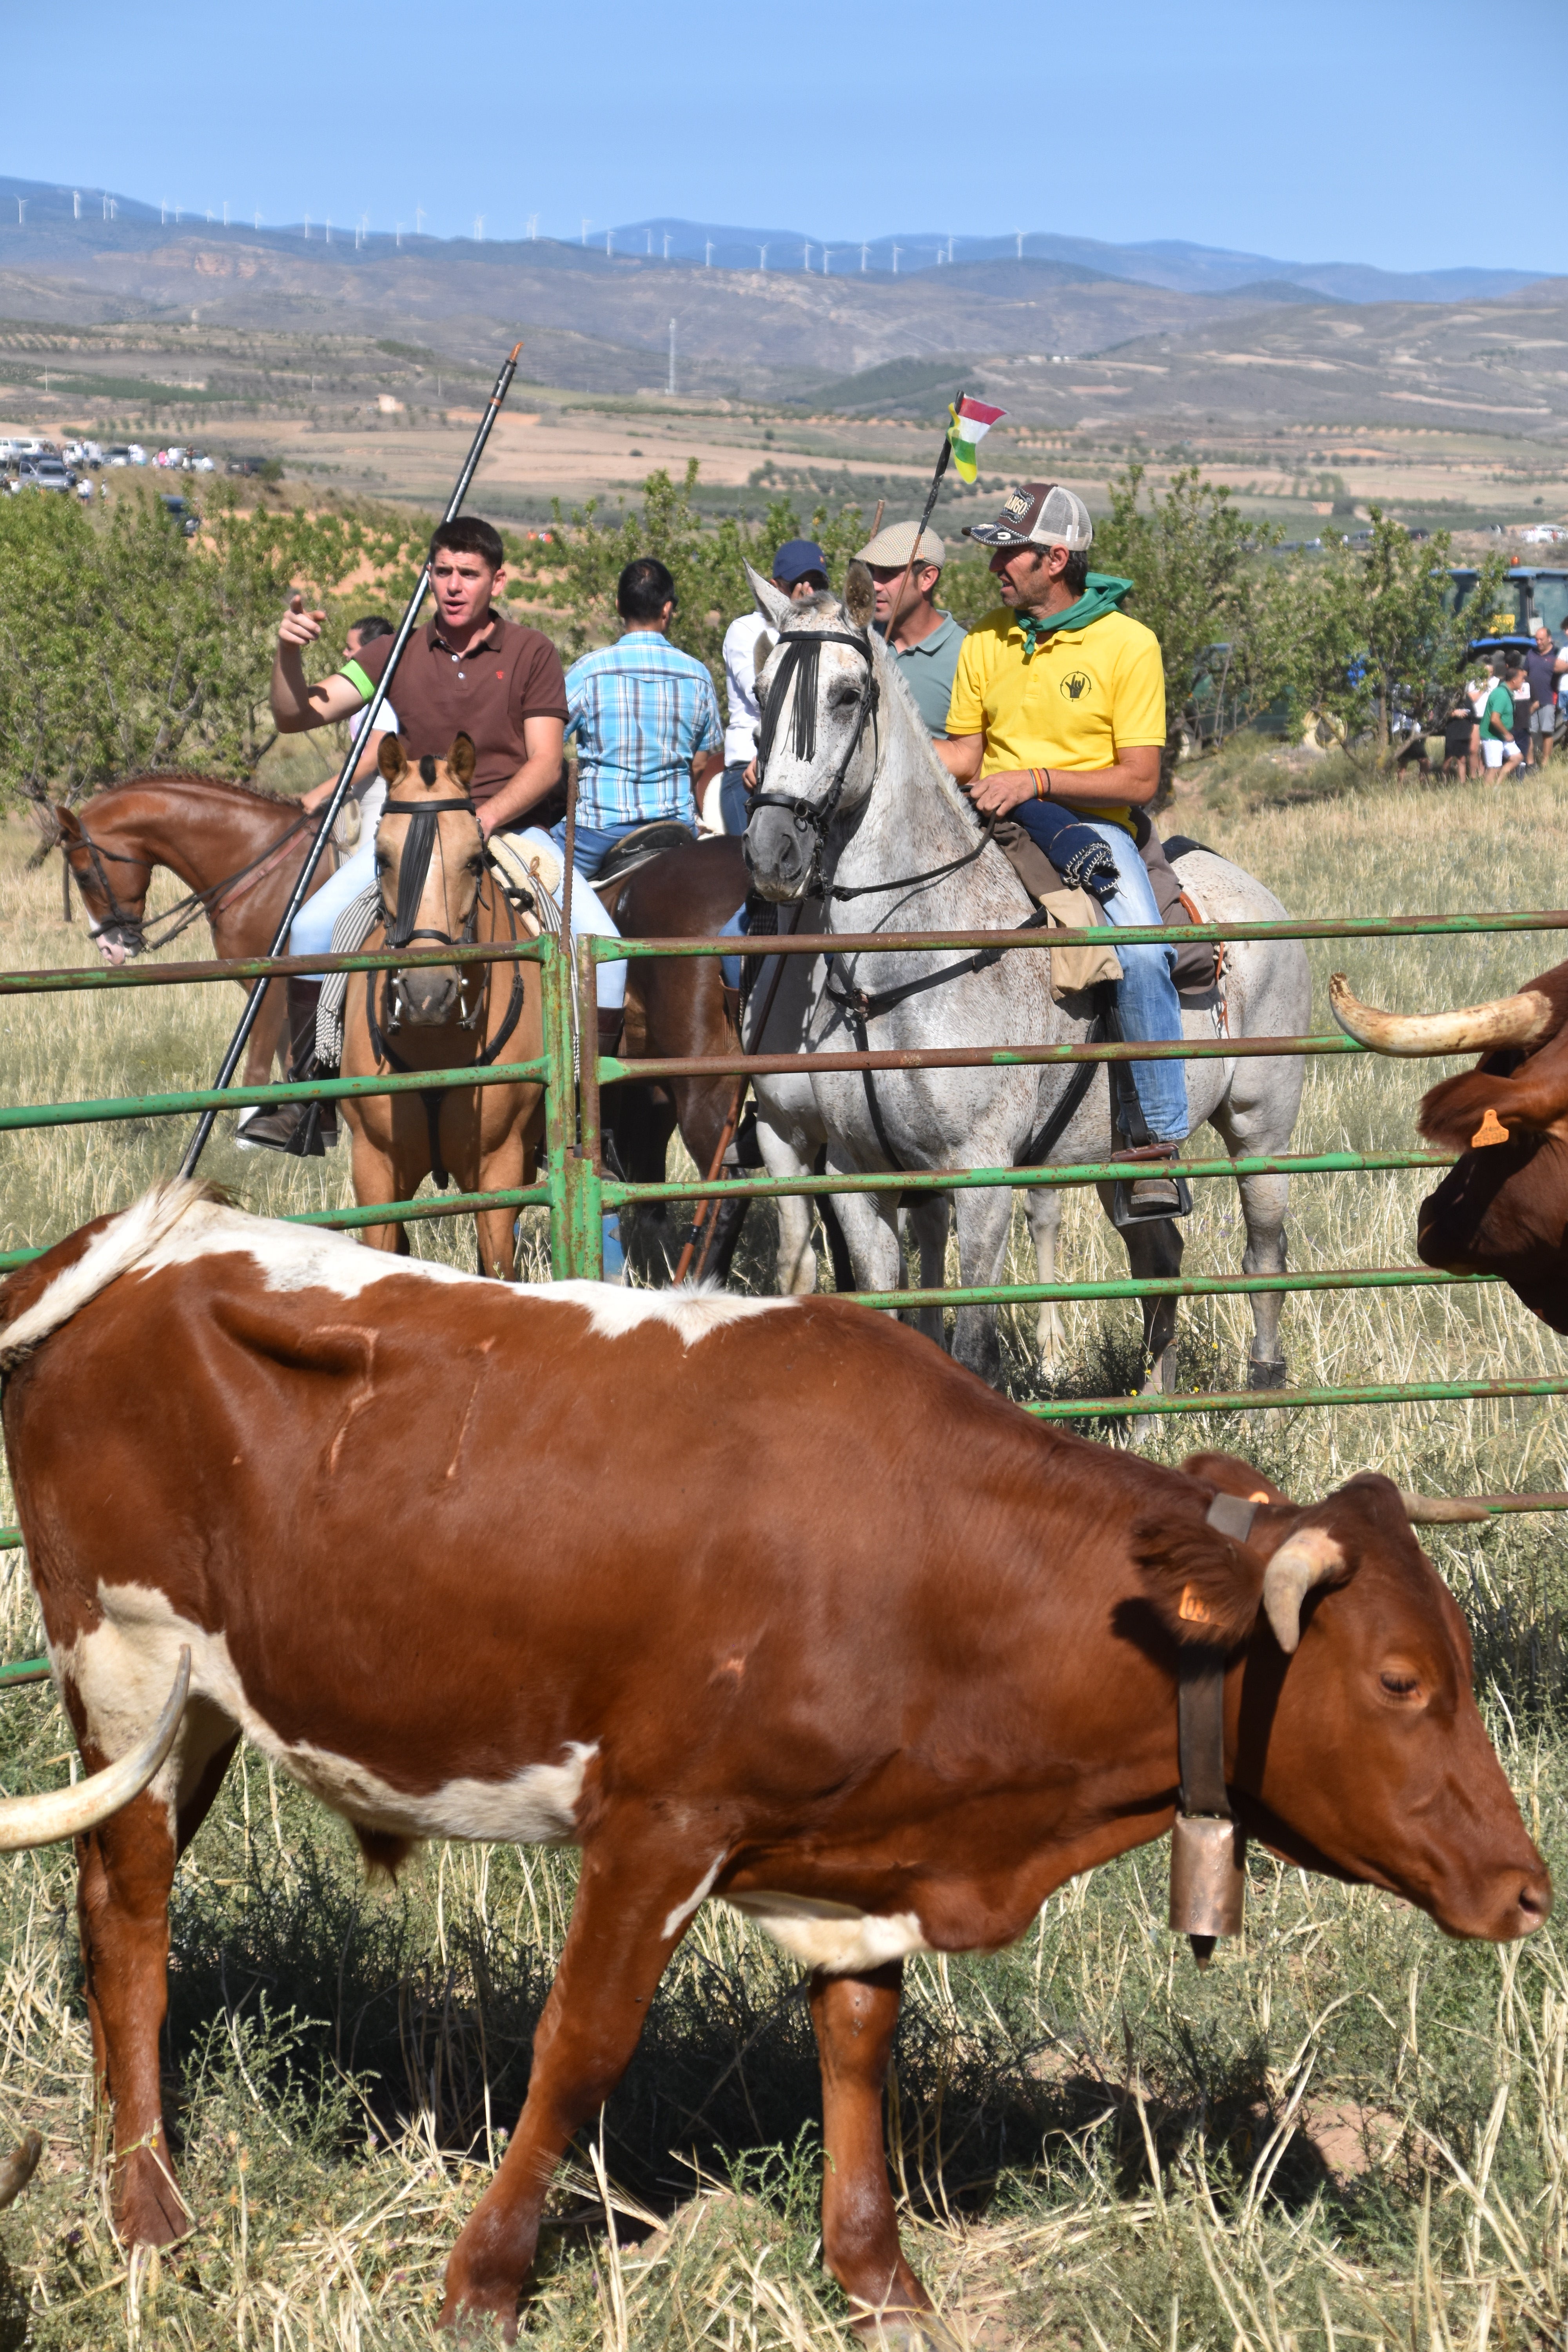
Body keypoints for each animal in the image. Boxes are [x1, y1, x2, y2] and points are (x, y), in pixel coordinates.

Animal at [0, 1185, 1552, 2343]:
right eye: (1400, 1680)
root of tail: (129, 1242)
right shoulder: (659, 1819)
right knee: (129, 1916)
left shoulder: (858, 1860)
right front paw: (484, 2279)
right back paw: (148, 2213)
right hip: (126, 1659)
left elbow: (859, 2040)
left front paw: (878, 2277)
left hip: (196, 1701)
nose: (1528, 1887)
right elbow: (581, 2045)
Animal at [338, 743, 545, 1279]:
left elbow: (497, 1266)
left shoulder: (499, 1167)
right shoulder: (374, 1165)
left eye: (474, 861)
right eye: (382, 858)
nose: (426, 993)